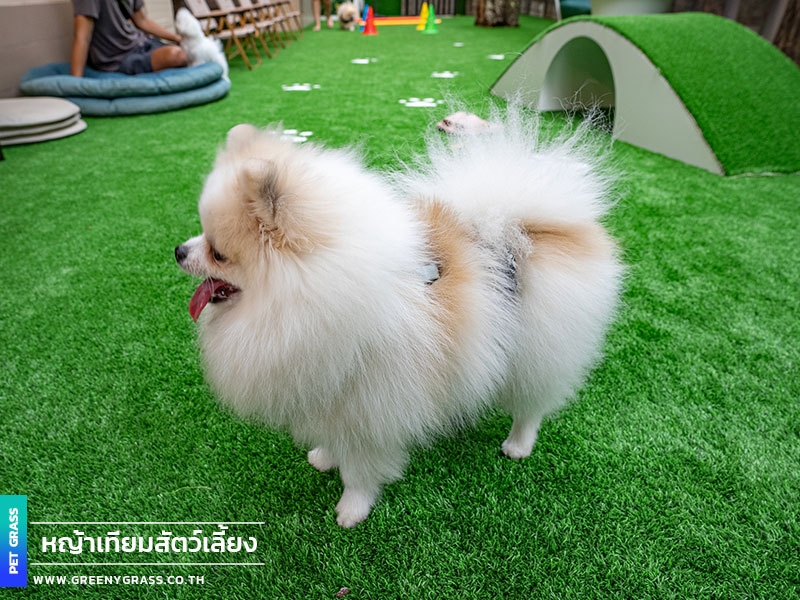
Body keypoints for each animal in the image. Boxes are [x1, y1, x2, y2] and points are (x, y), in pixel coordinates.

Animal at [175, 105, 623, 527]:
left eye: (219, 253)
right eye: (200, 232)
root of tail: (517, 222)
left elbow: (359, 469)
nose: (179, 251)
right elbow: (334, 439)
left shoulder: (373, 403)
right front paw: (325, 456)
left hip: (537, 351)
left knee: (531, 405)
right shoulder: (327, 389)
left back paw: (518, 444)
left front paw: (352, 509)